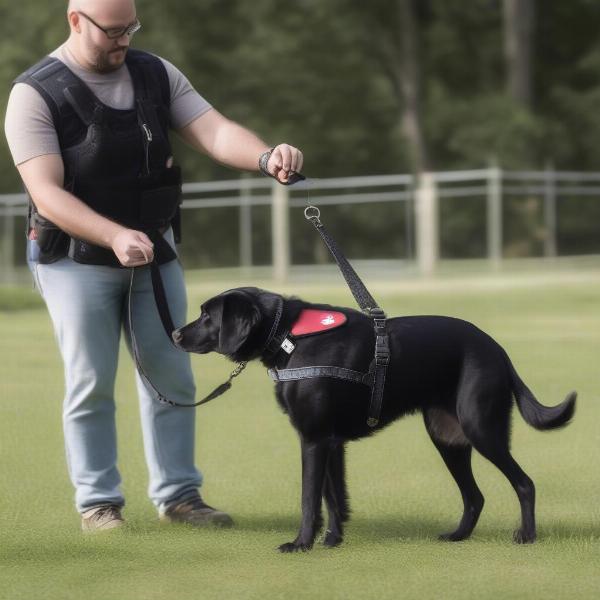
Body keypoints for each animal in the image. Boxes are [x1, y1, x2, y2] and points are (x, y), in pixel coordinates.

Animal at [171, 288, 576, 552]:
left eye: (207, 315)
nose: (174, 333)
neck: (289, 337)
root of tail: (498, 350)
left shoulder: (313, 438)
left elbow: (309, 498)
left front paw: (301, 543)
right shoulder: (330, 441)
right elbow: (333, 497)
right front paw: (332, 540)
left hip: (481, 428)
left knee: (524, 483)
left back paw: (526, 536)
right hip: (447, 437)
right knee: (474, 496)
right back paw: (458, 536)